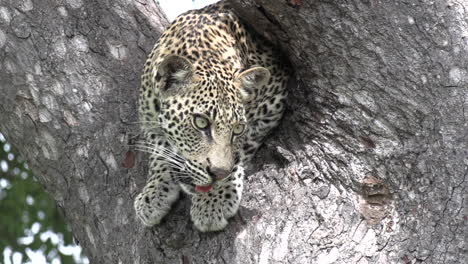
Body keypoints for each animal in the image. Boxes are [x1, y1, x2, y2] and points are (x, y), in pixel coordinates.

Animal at [134, 0, 288, 231]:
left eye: (238, 129)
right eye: (200, 122)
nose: (218, 175)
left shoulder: (275, 99)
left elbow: (241, 149)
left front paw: (215, 198)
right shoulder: (147, 118)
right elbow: (159, 151)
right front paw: (153, 193)